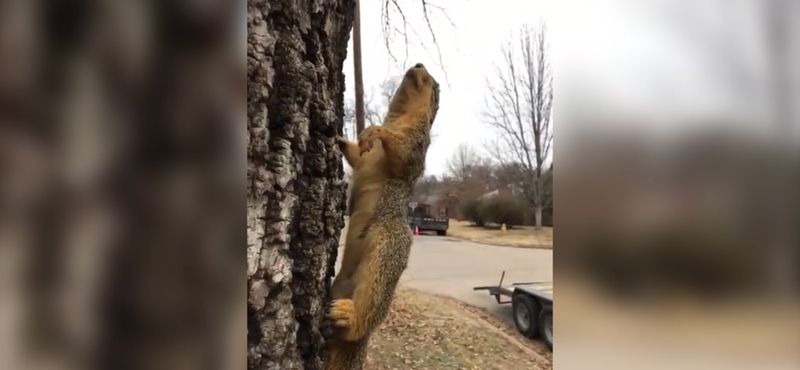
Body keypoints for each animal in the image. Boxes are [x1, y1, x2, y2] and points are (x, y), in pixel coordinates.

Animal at [322, 63, 440, 370]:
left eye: (435, 85)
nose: (418, 64)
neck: (399, 118)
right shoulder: (362, 160)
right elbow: (355, 156)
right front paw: (341, 138)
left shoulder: (417, 147)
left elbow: (402, 153)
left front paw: (373, 130)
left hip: (386, 249)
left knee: (369, 311)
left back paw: (351, 318)